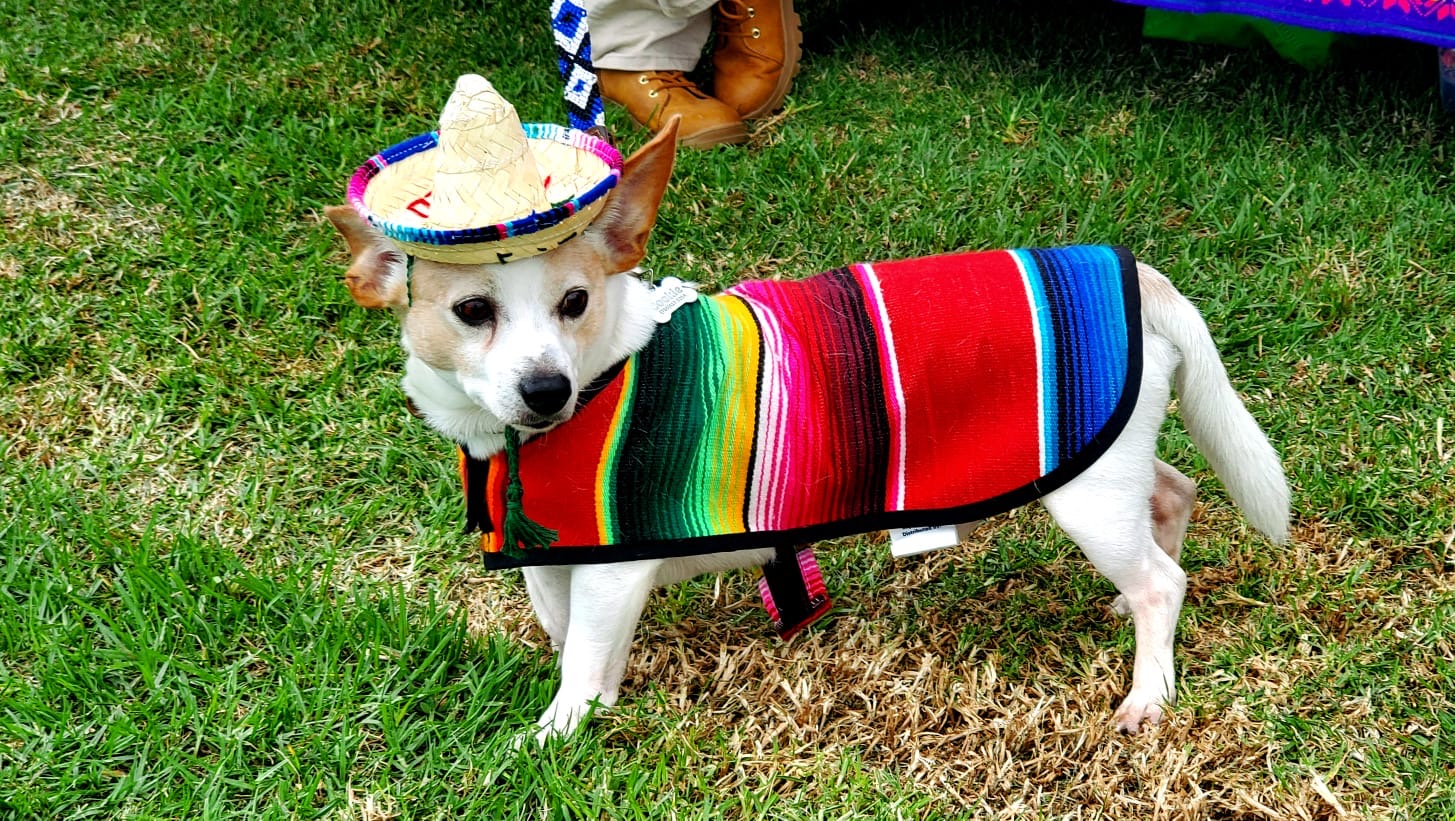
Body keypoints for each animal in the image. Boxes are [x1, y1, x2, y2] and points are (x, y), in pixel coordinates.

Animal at [327, 117, 1286, 751]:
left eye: (573, 301)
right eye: (471, 310)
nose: (544, 387)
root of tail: (1141, 272)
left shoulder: (611, 573)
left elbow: (585, 664)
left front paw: (556, 732)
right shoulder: (551, 563)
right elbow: (563, 639)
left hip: (1088, 499)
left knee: (1165, 581)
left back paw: (1148, 687)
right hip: (1113, 473)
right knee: (1174, 496)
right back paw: (1131, 610)